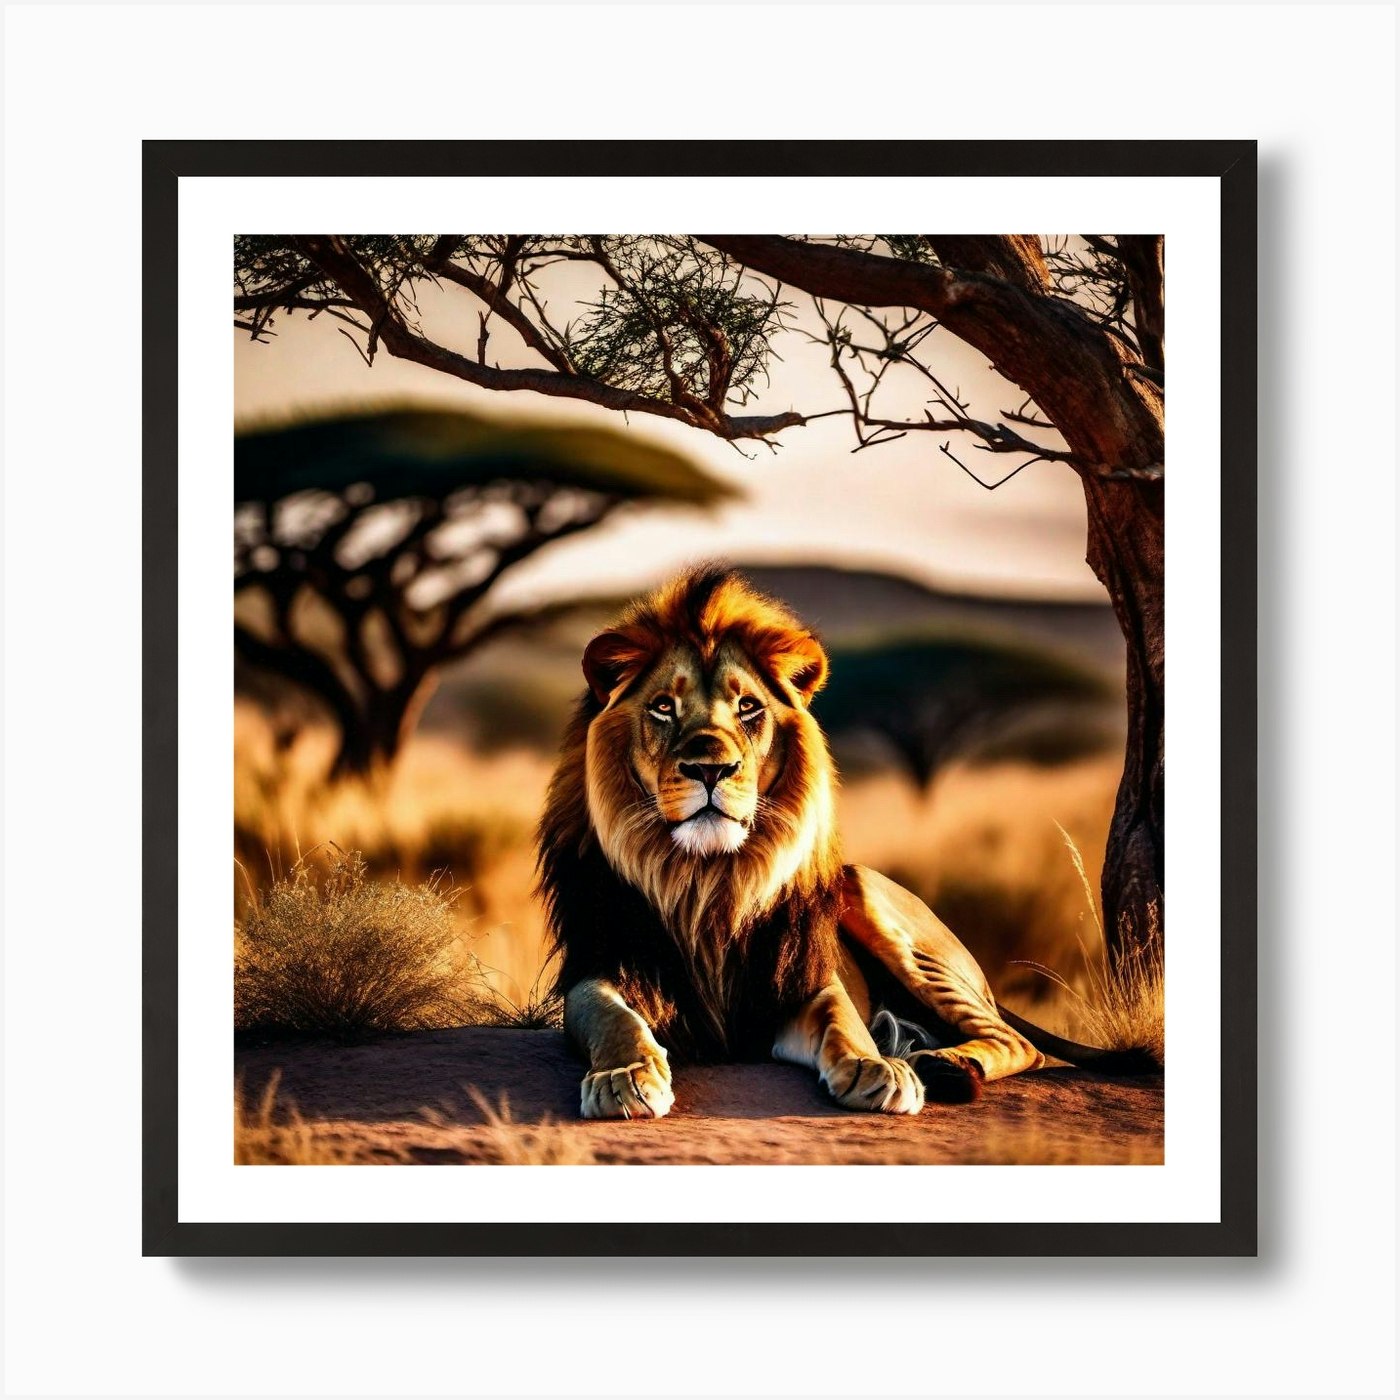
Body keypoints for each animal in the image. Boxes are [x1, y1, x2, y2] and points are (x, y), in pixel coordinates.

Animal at [537, 565, 1128, 1119]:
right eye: (663, 707)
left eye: (748, 708)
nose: (712, 768)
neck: (708, 881)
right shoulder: (597, 966)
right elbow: (613, 1017)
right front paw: (626, 1075)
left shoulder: (800, 981)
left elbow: (841, 1019)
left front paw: (874, 1067)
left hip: (870, 896)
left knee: (1020, 1042)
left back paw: (936, 1063)